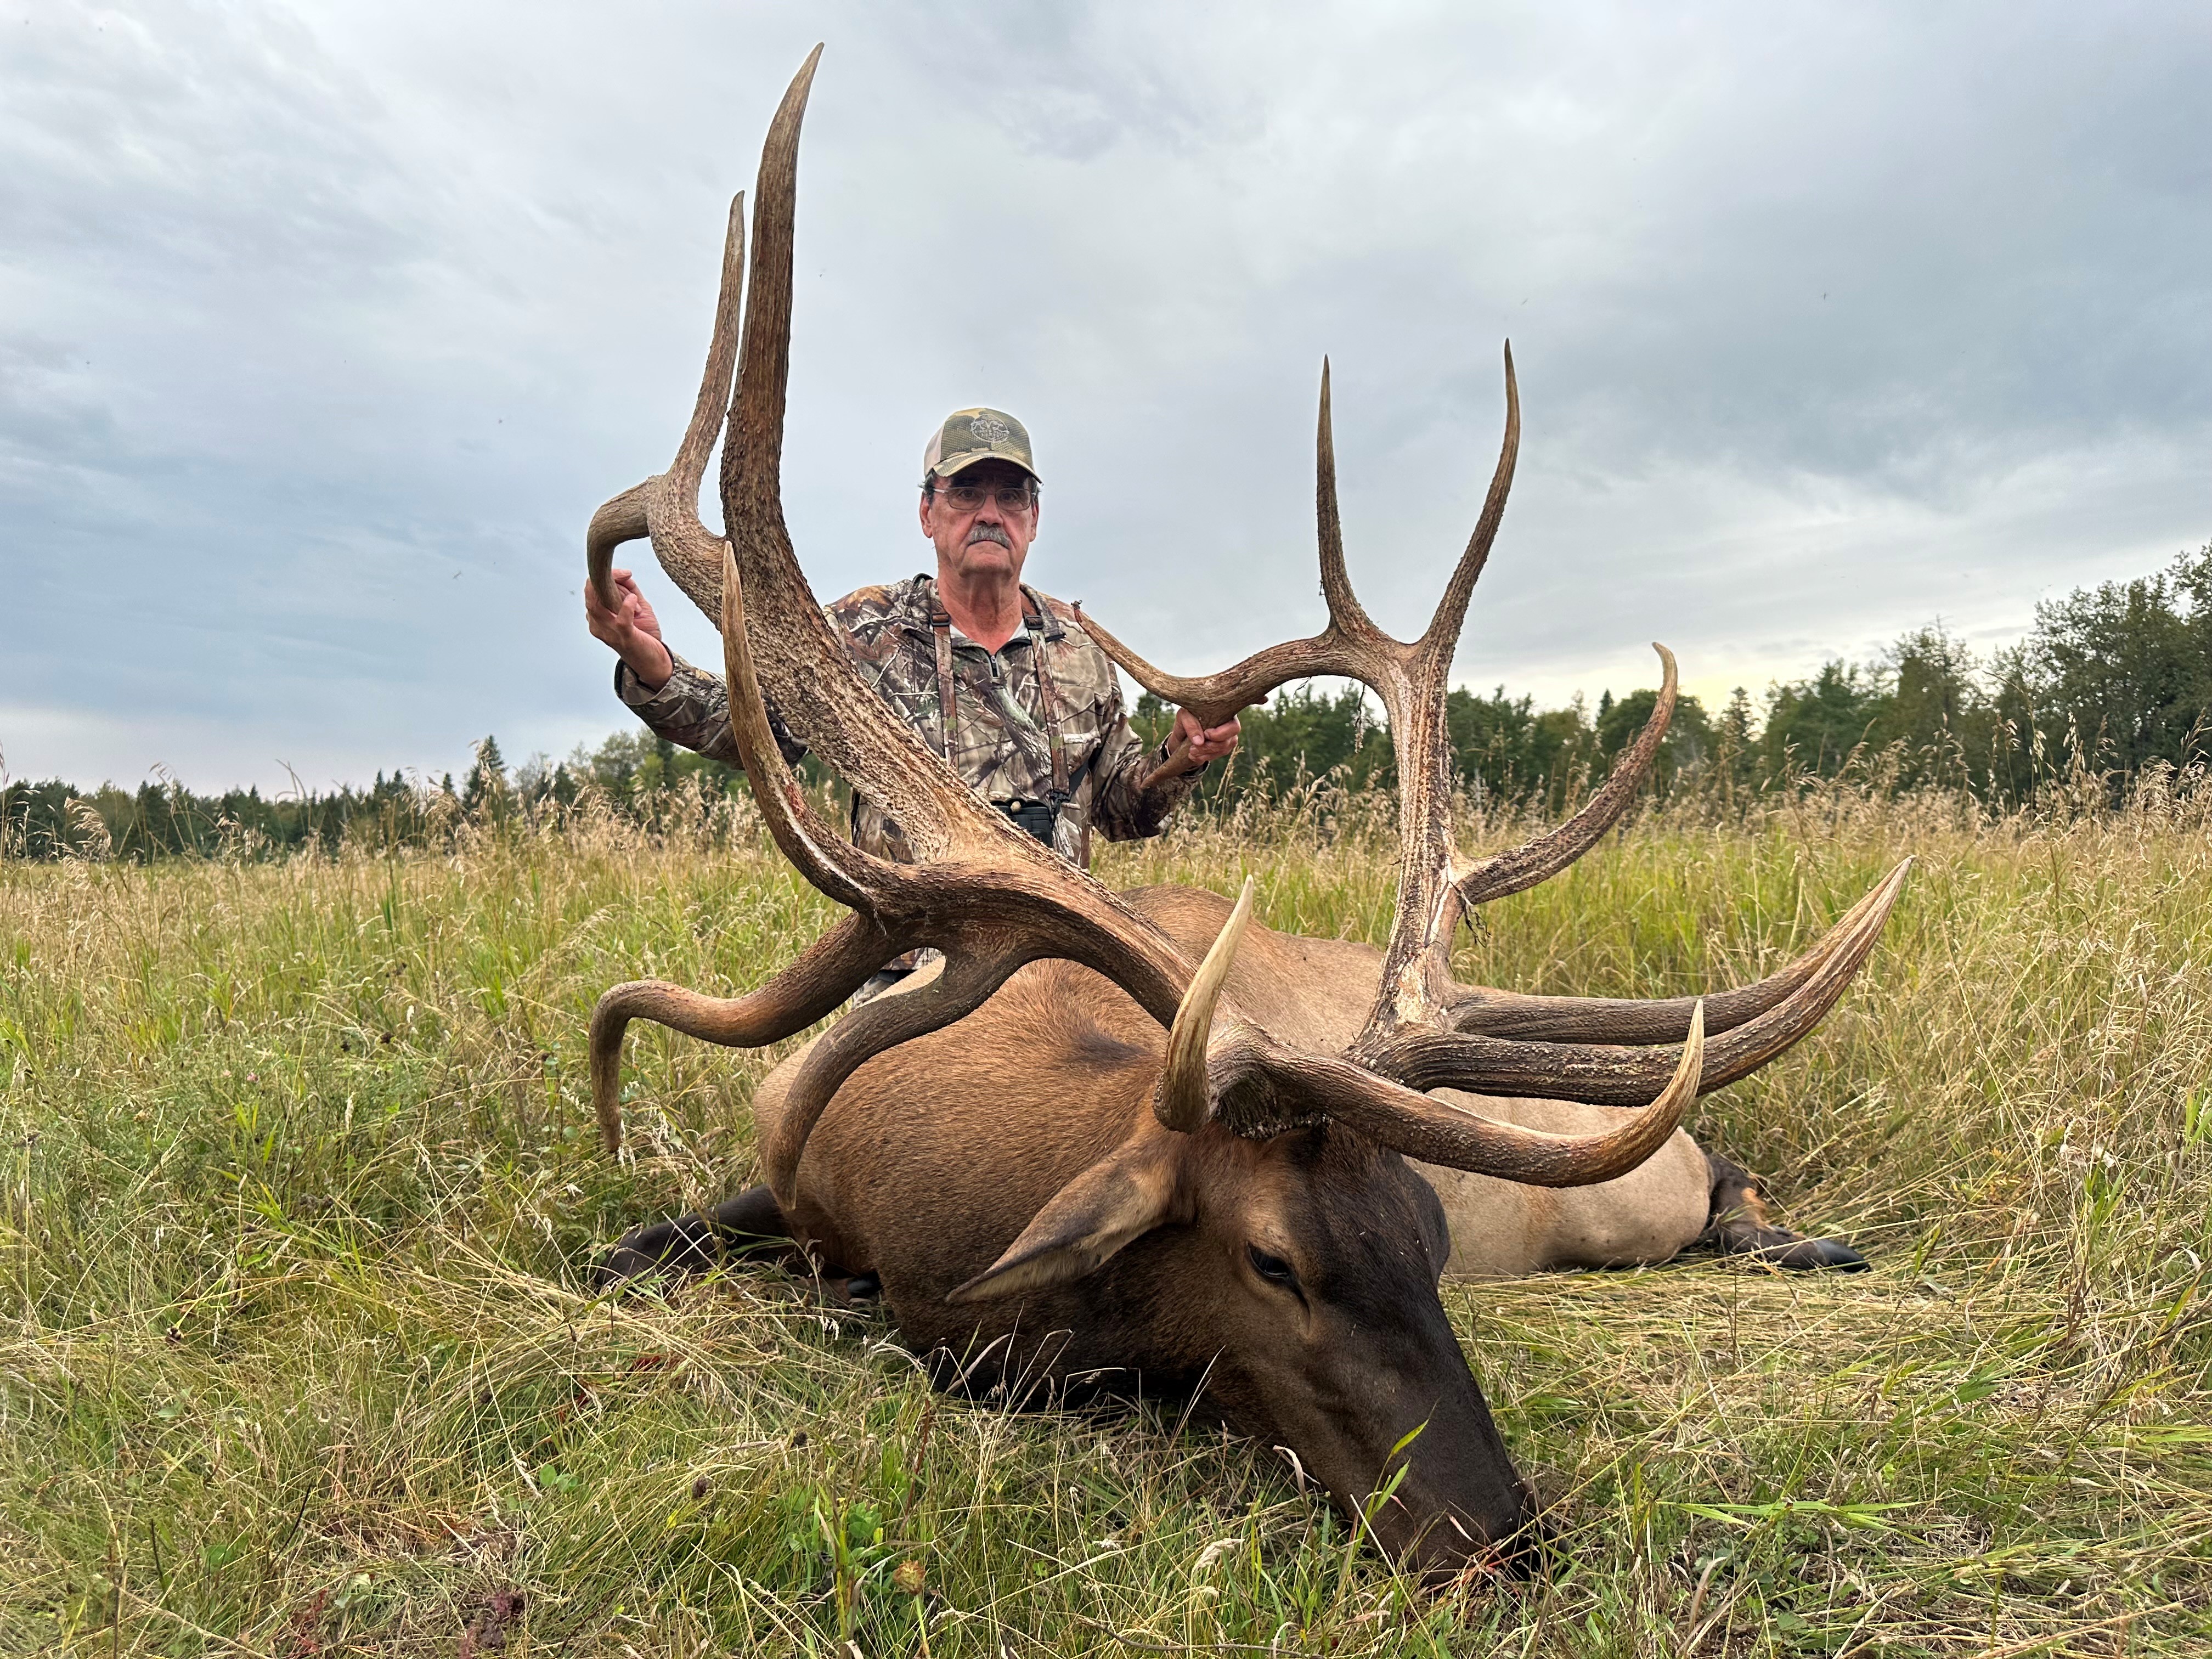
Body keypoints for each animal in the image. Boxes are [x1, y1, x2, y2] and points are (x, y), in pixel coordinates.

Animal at [579, 49, 1908, 1576]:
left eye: (1429, 1236)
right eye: (1274, 1259)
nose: (1502, 1535)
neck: (920, 1195)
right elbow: (636, 1248)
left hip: (1629, 1189)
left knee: (1721, 1174)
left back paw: (1809, 1240)